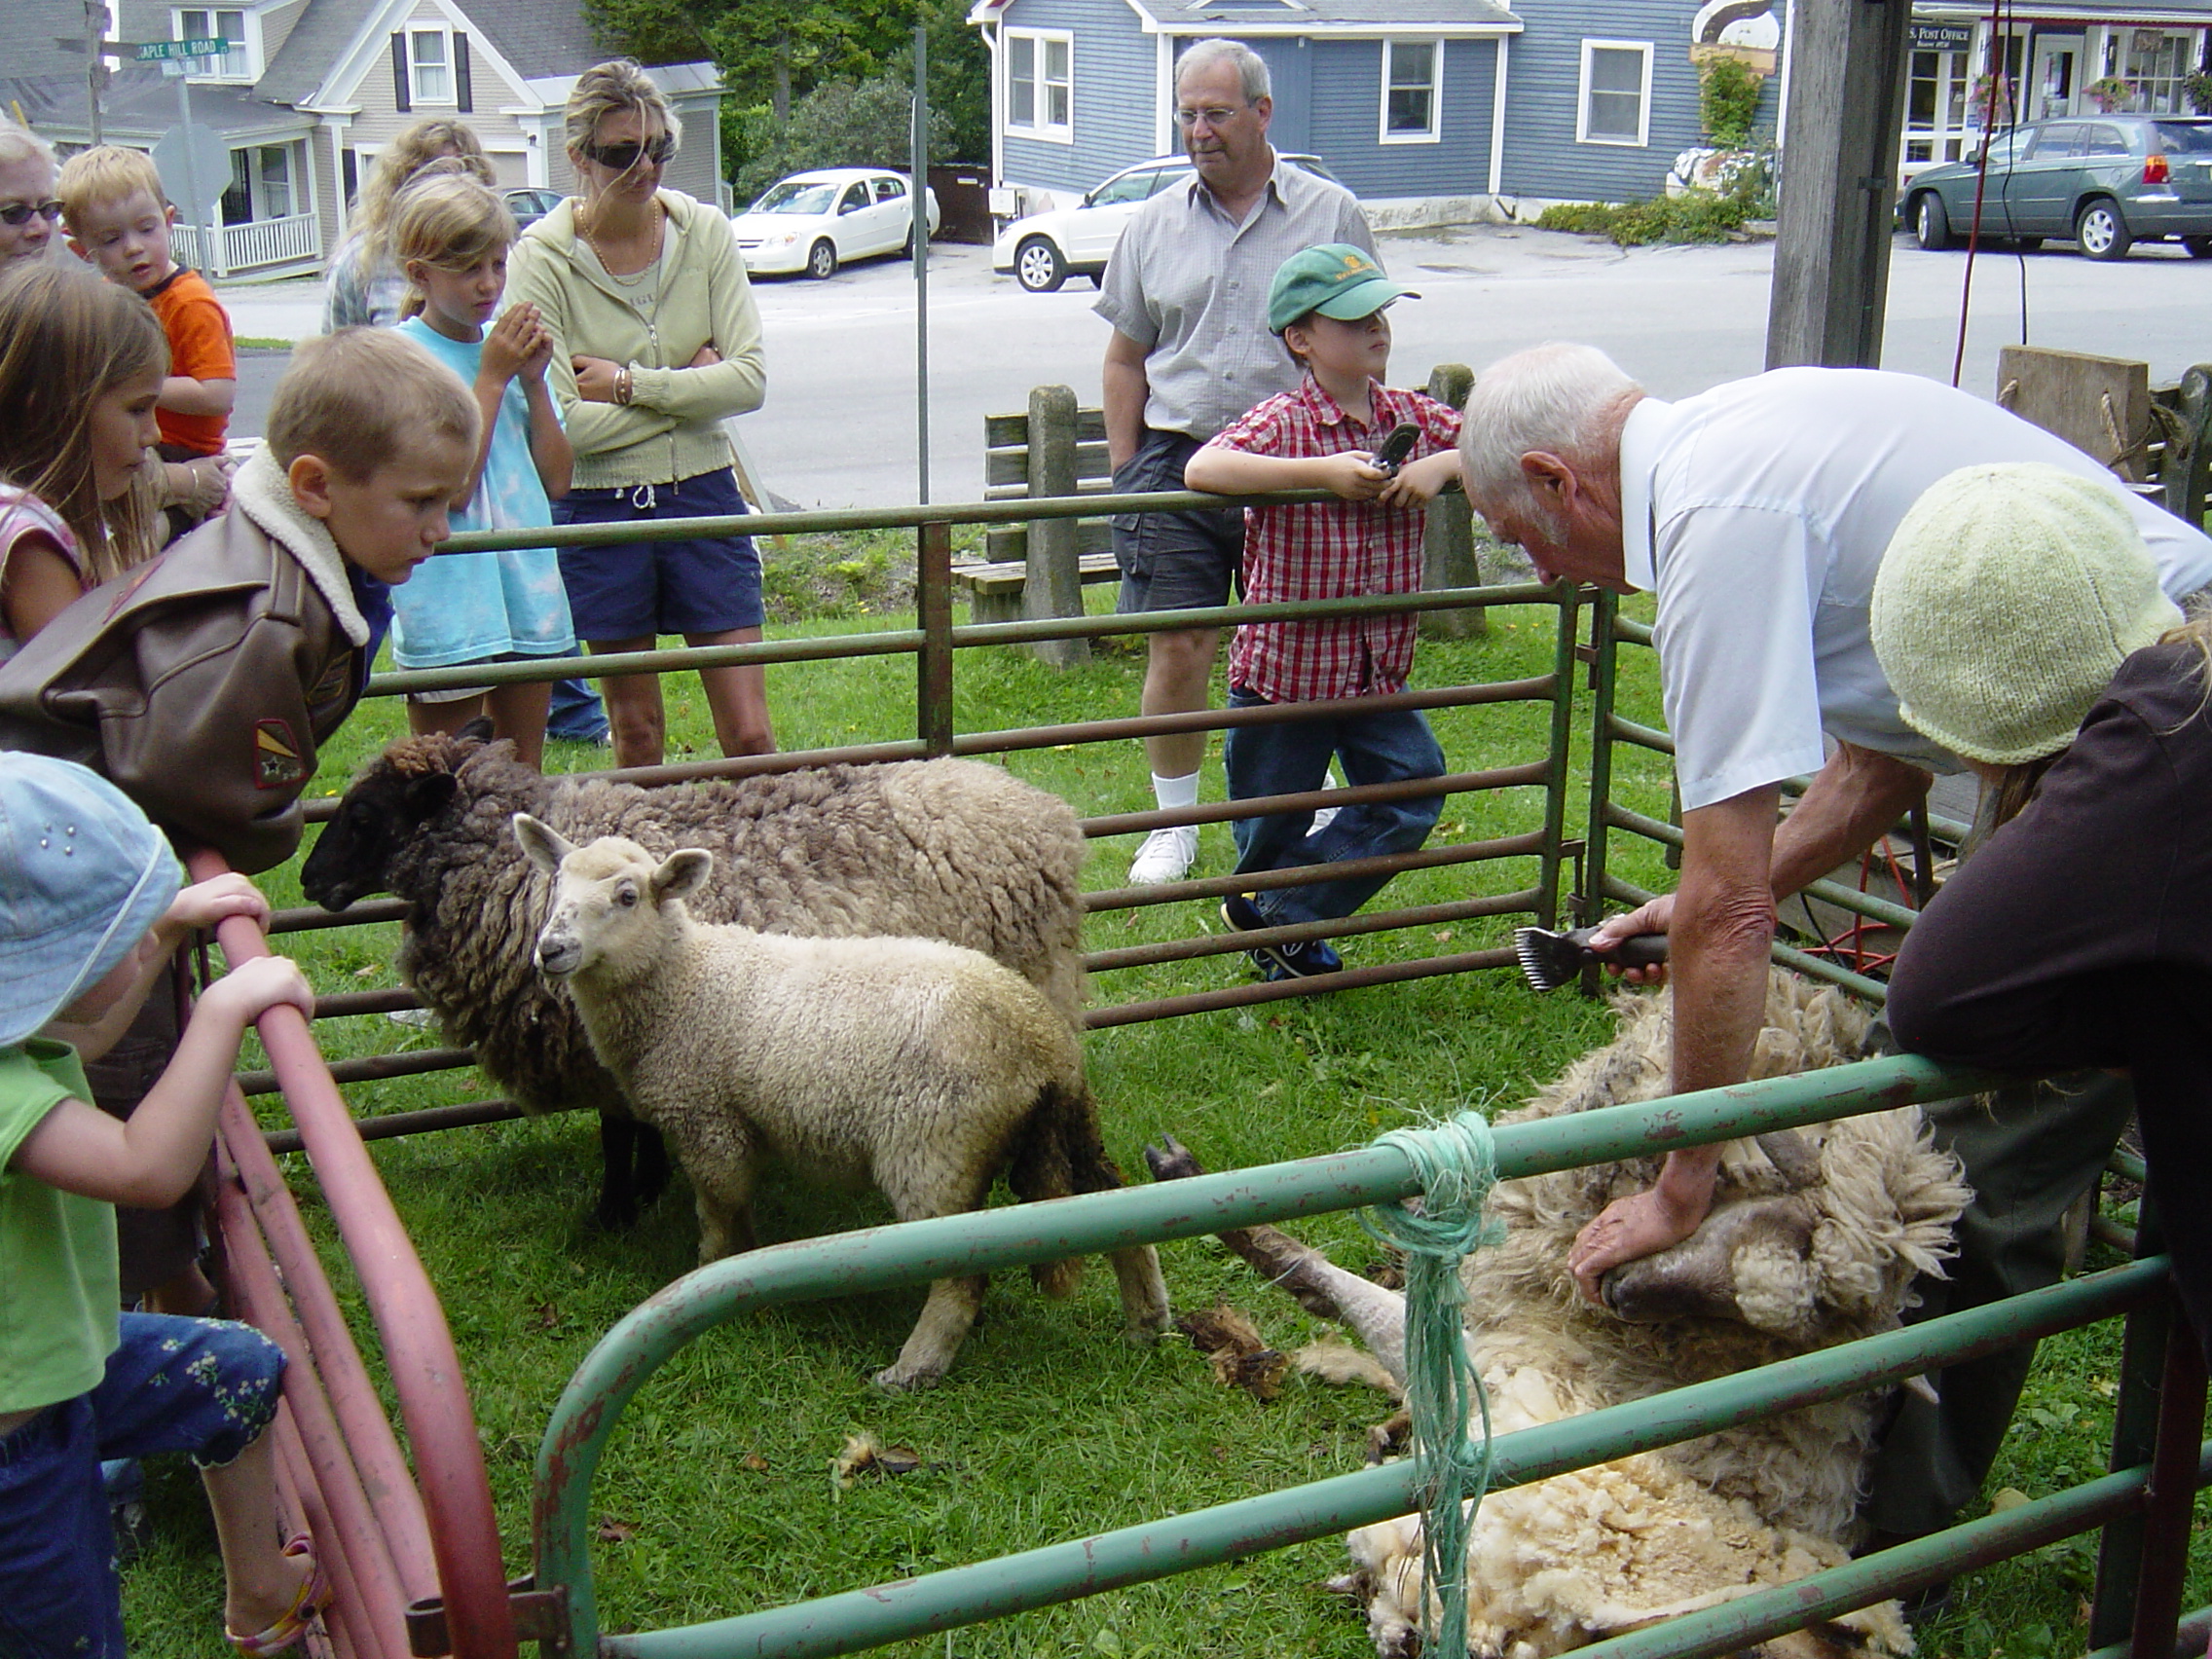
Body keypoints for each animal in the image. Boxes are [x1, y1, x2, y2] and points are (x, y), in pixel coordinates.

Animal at [297, 725, 1091, 1229]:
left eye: (363, 813)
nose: (308, 881)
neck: (500, 872)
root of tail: (1045, 814)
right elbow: (635, 1125)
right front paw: (645, 1192)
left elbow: (618, 1132)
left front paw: (615, 1213)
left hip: (1031, 981)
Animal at [514, 816, 1172, 1389]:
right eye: (557, 883)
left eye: (627, 896)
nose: (551, 949)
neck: (686, 980)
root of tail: (1042, 1041)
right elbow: (737, 1214)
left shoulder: (707, 1120)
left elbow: (720, 1213)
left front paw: (706, 1283)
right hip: (1070, 1126)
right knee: (1115, 1206)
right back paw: (1146, 1321)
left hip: (935, 1148)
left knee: (962, 1275)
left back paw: (912, 1370)